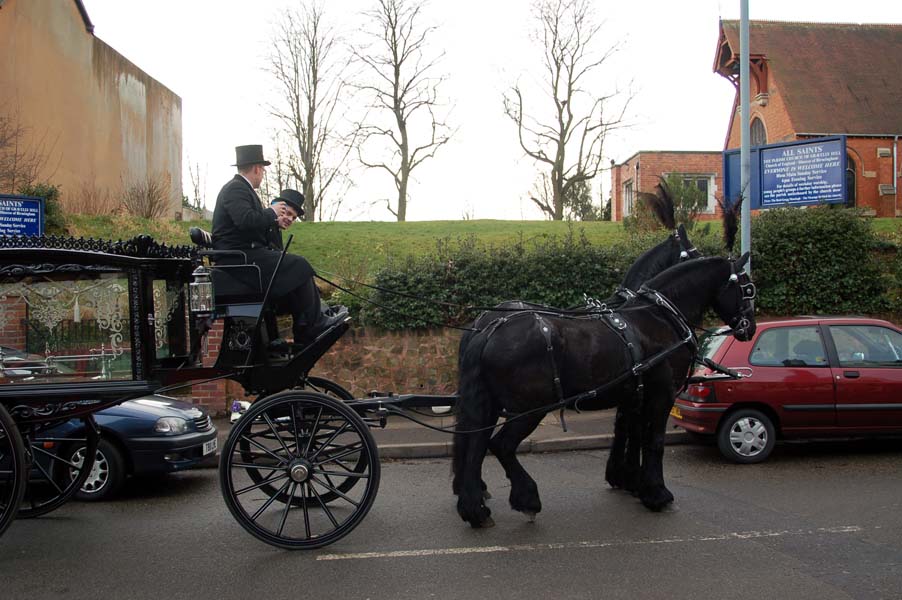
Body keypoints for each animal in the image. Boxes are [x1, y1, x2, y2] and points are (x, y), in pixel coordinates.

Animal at [456, 255, 760, 528]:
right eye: (748, 288)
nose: (749, 328)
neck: (658, 317)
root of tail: (489, 329)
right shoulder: (661, 395)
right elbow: (654, 441)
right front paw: (656, 494)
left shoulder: (634, 396)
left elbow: (631, 435)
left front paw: (630, 482)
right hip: (530, 408)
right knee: (501, 445)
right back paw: (527, 500)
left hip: (489, 405)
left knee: (475, 448)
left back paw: (475, 510)